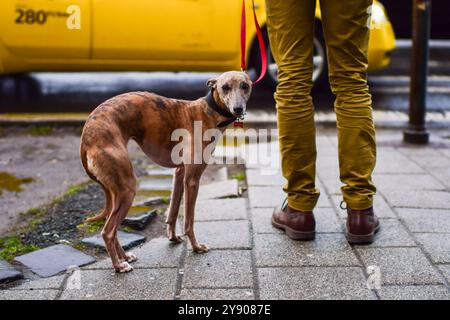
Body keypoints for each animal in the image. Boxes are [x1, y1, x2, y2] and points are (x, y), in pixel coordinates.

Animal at [79, 71, 251, 272]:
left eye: (245, 86)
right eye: (225, 87)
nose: (238, 109)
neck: (208, 112)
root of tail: (86, 138)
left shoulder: (180, 173)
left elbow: (173, 211)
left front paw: (173, 237)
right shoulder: (192, 179)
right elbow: (189, 220)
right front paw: (196, 247)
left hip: (117, 192)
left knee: (112, 229)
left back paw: (125, 257)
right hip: (127, 188)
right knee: (107, 231)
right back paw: (119, 265)